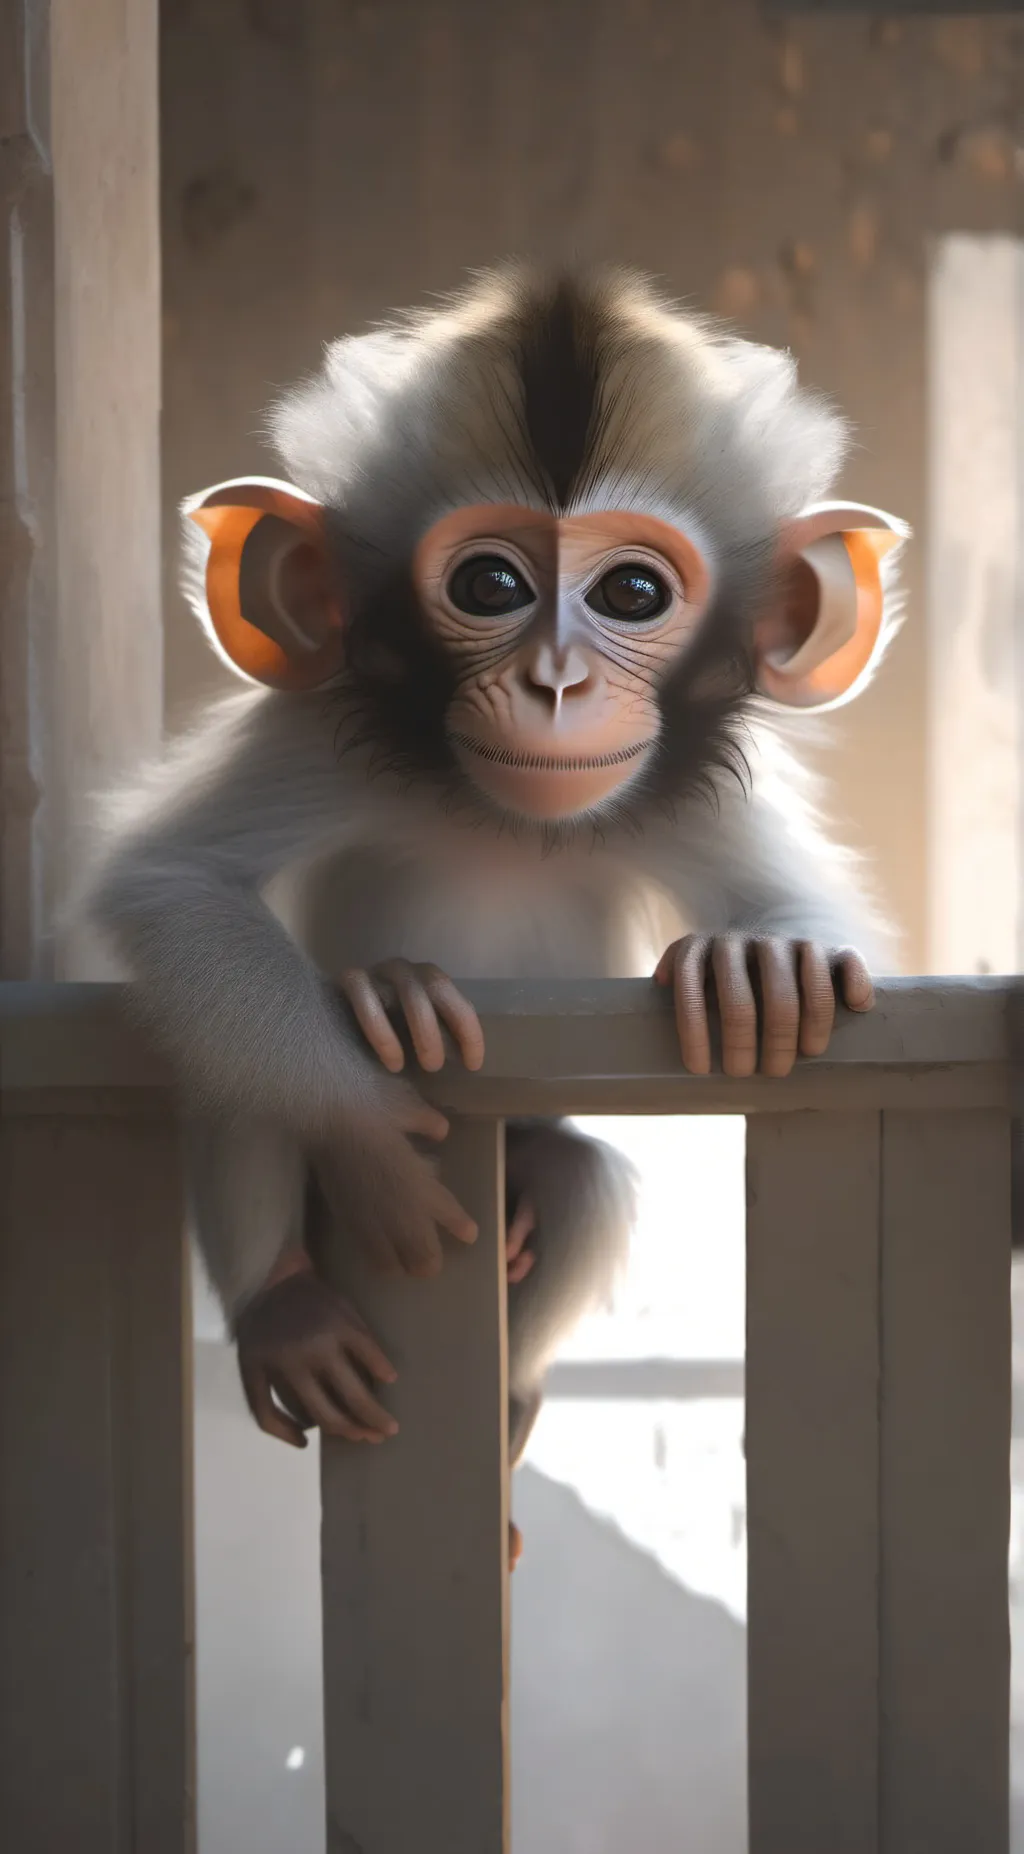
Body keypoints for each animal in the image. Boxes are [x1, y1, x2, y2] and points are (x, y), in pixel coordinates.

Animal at [84, 264, 905, 1569]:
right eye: (489, 585)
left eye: (632, 591)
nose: (555, 684)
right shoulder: (317, 737)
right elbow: (172, 886)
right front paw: (377, 1115)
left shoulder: (690, 783)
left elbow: (831, 933)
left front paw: (761, 964)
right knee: (234, 1075)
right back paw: (288, 1306)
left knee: (576, 1174)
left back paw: (512, 1396)